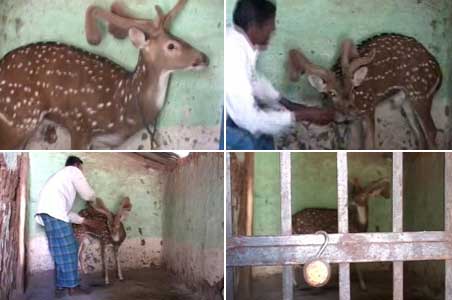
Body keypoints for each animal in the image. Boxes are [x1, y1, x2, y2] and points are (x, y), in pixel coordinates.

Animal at [0, 0, 208, 150]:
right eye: (171, 45)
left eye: (180, 38)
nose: (204, 57)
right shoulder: (80, 125)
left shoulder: (104, 143)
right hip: (18, 118)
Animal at [290, 33, 442, 149]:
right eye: (332, 93)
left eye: (353, 88)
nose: (349, 110)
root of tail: (439, 71)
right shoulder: (352, 121)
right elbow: (353, 146)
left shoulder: (369, 106)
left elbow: (370, 145)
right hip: (407, 101)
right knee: (420, 135)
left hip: (420, 93)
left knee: (431, 131)